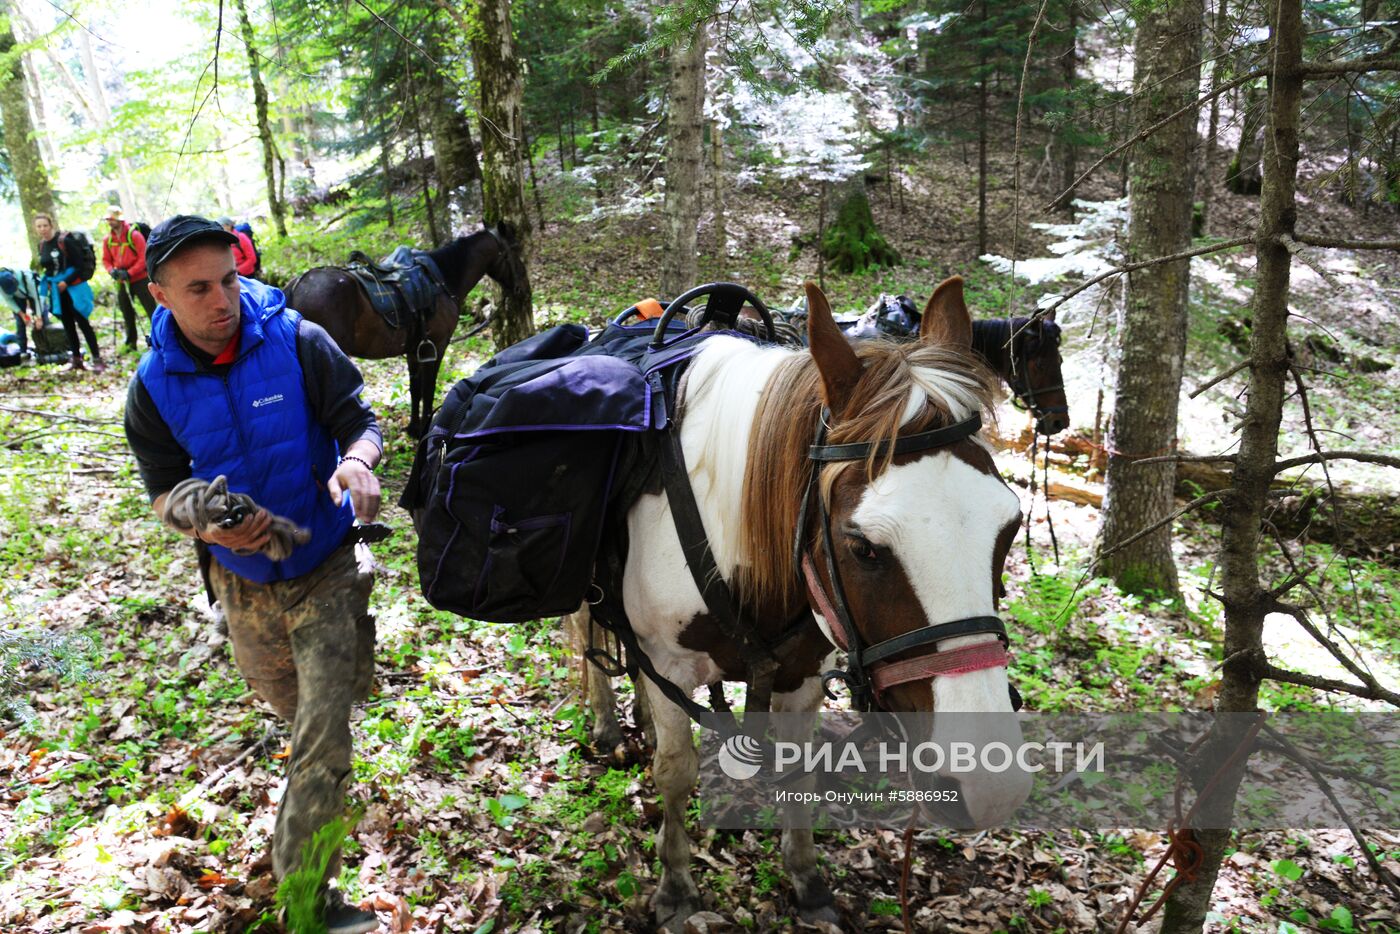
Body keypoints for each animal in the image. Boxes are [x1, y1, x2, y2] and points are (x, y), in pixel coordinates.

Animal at [284, 224, 526, 436]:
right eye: (515, 249)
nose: (521, 287)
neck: (442, 281)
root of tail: (297, 285)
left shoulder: (413, 350)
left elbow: (415, 389)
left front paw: (413, 427)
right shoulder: (438, 346)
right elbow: (429, 389)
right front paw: (424, 429)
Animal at [618, 275, 1036, 929]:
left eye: (1011, 525)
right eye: (862, 547)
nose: (991, 788)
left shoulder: (803, 672)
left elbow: (798, 771)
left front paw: (807, 881)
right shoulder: (669, 663)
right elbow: (676, 771)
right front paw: (677, 885)